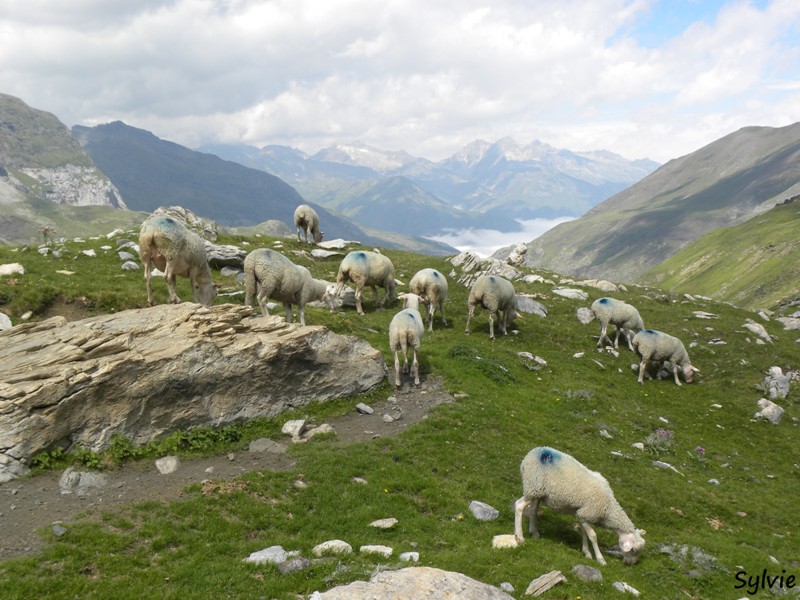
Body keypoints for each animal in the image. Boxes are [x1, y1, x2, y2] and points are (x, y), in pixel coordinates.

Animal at [516, 446, 648, 568]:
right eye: (633, 550)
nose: (630, 564)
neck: (608, 509)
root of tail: (533, 452)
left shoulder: (582, 514)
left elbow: (585, 533)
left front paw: (587, 553)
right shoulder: (588, 512)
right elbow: (593, 536)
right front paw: (600, 559)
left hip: (538, 491)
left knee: (533, 510)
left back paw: (534, 533)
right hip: (532, 485)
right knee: (518, 506)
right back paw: (520, 537)